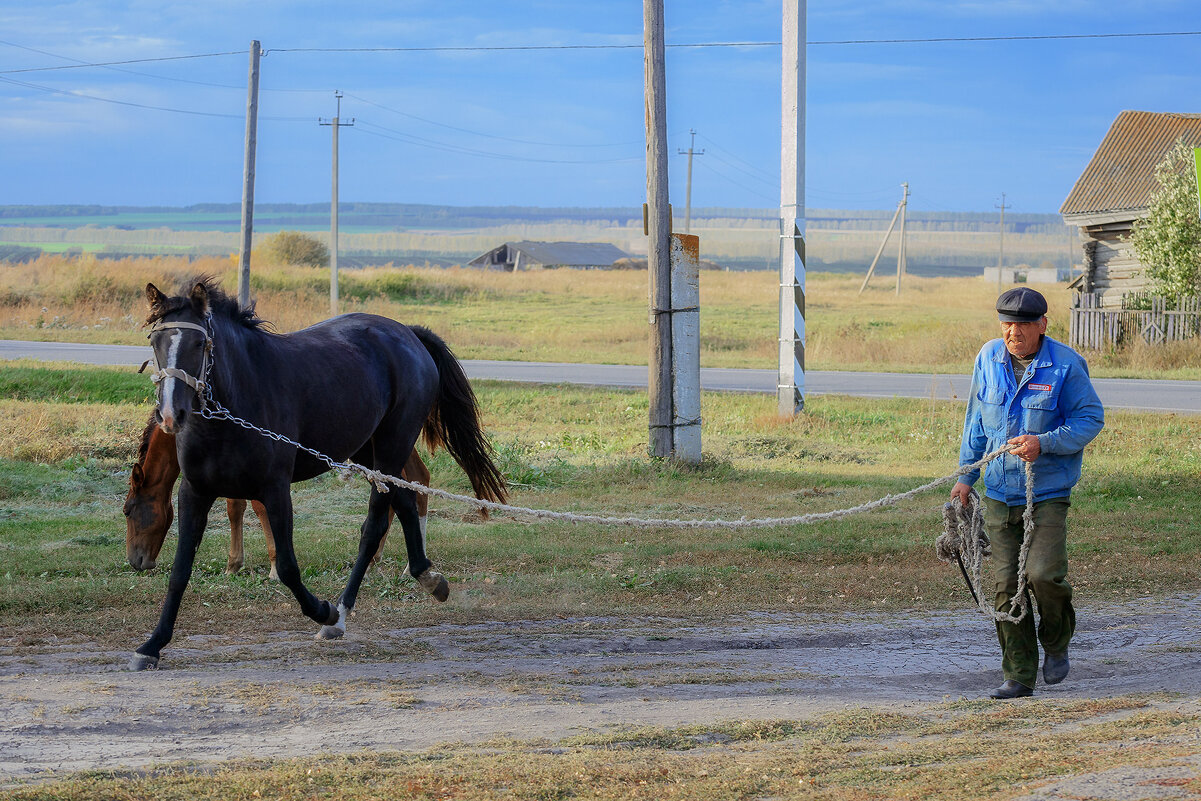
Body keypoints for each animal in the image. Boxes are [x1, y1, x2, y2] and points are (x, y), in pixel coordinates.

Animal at [124, 417, 434, 578]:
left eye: (127, 510)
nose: (135, 561)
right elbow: (235, 508)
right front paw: (234, 564)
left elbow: (258, 509)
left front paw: (272, 567)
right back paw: (376, 557)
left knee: (415, 483)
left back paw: (410, 564)